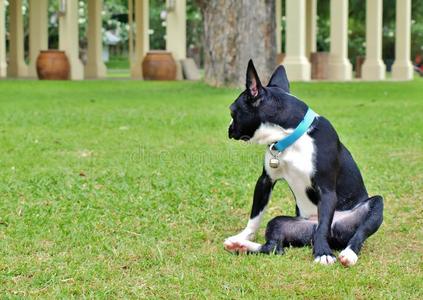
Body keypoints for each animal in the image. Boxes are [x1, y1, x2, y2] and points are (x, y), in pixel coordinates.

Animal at [225, 59, 384, 266]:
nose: (229, 128)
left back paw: (348, 254)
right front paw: (243, 236)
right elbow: (255, 216)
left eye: (232, 112)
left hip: (374, 207)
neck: (290, 136)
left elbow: (324, 225)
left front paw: (323, 253)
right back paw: (241, 246)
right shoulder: (265, 181)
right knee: (274, 247)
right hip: (282, 224)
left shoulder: (326, 189)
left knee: (357, 232)